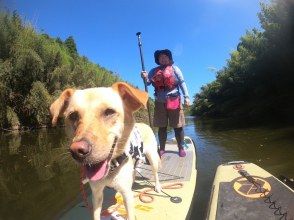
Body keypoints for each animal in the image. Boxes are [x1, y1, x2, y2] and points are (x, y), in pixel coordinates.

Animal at [49, 82, 162, 220]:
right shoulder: (96, 195)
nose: (77, 151)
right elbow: (96, 214)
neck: (111, 169)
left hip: (152, 158)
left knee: (155, 173)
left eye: (109, 112)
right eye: (73, 115)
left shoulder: (127, 196)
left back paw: (157, 186)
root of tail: (145, 124)